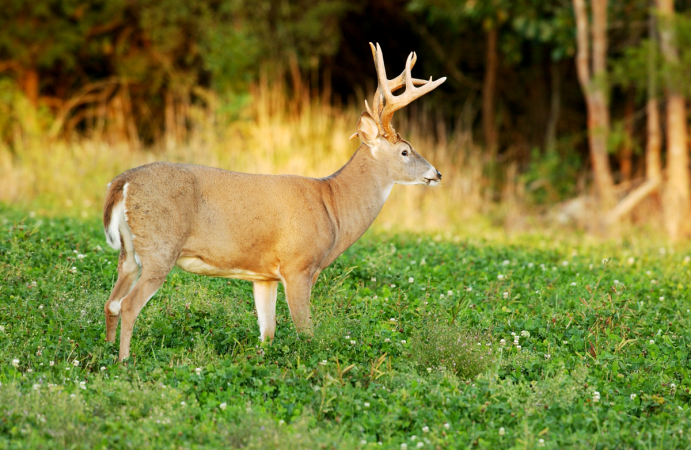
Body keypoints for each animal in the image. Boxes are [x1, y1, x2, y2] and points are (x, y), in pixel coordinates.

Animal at [103, 42, 448, 358]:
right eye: (405, 151)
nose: (437, 173)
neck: (334, 206)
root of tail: (122, 182)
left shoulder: (264, 275)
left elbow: (266, 334)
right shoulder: (299, 266)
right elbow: (305, 332)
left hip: (129, 251)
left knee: (111, 302)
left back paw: (106, 354)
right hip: (160, 247)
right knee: (128, 305)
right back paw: (124, 362)